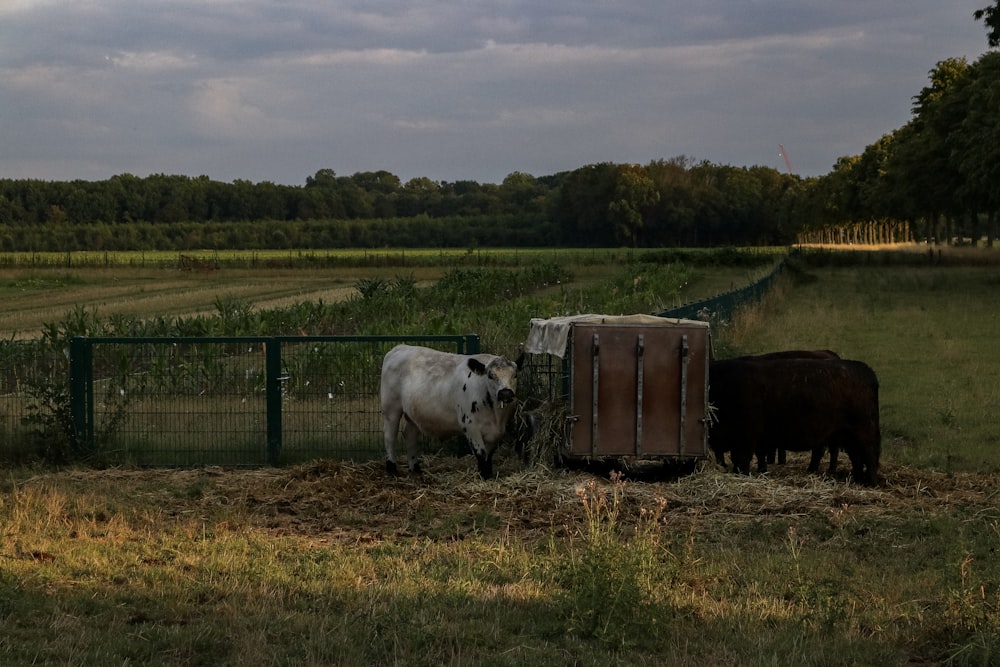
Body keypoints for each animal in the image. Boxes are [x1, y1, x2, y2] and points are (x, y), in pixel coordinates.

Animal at [380, 344, 524, 480]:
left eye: (515, 375)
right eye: (490, 375)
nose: (505, 393)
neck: (496, 415)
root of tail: (400, 347)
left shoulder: (495, 433)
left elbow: (488, 456)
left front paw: (488, 475)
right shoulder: (470, 426)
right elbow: (481, 454)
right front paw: (484, 476)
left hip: (413, 414)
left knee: (410, 436)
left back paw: (415, 468)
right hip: (391, 408)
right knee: (389, 437)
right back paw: (391, 467)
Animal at [708, 358, 880, 488]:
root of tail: (864, 369)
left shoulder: (746, 437)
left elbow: (742, 459)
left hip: (863, 431)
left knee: (869, 455)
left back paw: (871, 483)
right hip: (846, 435)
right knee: (857, 458)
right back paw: (858, 480)